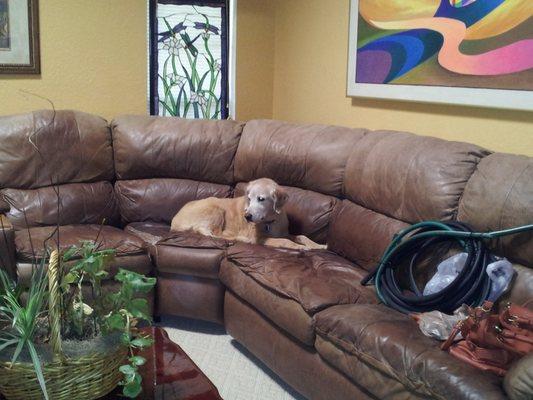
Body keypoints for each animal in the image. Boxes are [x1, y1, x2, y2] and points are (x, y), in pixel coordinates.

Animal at [170, 178, 326, 250]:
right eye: (249, 199)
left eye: (261, 199)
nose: (247, 217)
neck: (270, 221)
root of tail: (174, 221)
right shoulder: (260, 239)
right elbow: (284, 241)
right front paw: (300, 247)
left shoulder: (284, 233)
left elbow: (301, 236)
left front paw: (318, 246)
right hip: (216, 208)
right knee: (209, 231)